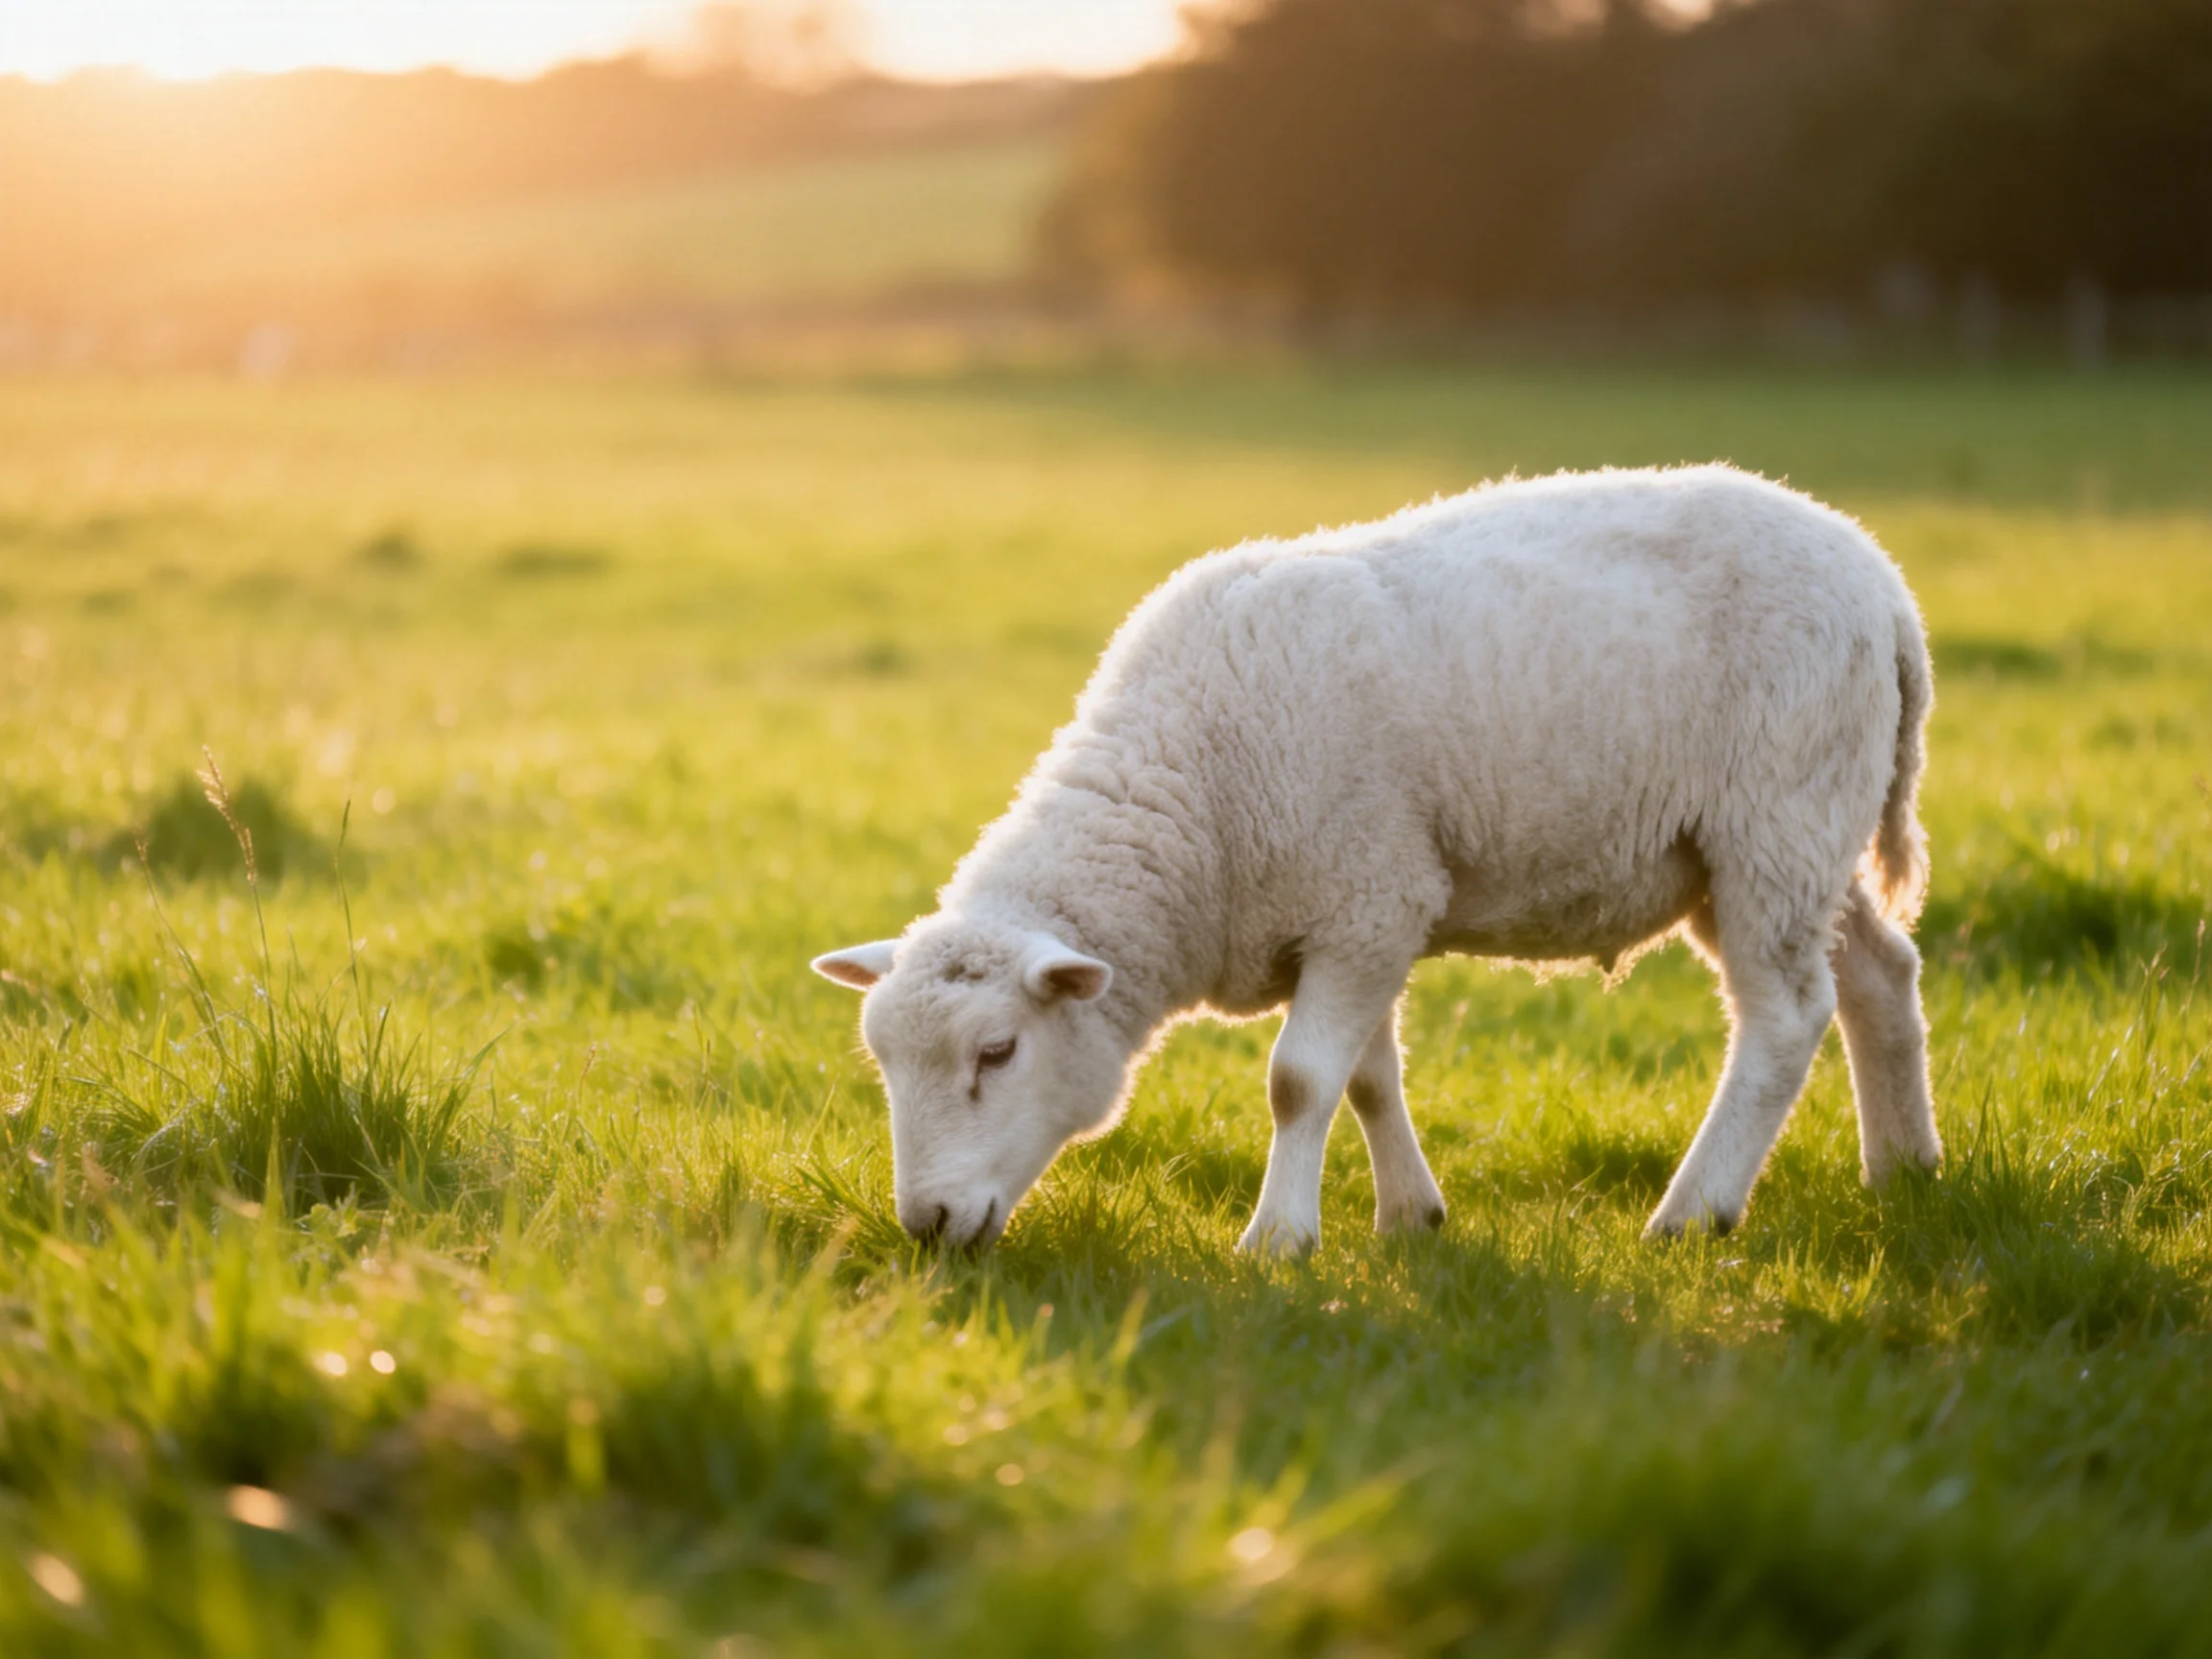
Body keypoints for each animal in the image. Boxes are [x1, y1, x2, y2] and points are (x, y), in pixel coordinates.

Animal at [814, 464, 1939, 1253]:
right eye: (884, 1063)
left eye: (997, 1053)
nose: (927, 1226)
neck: (1192, 804)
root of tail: (1883, 583)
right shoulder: (1364, 912)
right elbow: (1367, 1078)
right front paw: (1410, 1217)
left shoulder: (1366, 897)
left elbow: (1299, 1080)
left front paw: (1279, 1239)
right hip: (1785, 837)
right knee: (1881, 971)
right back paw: (1906, 1173)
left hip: (1776, 818)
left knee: (1784, 1018)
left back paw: (1694, 1212)